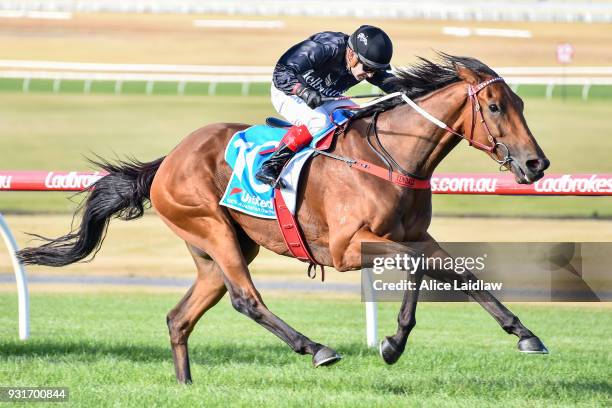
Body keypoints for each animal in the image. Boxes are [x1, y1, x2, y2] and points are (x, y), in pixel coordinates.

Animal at [17, 54, 548, 382]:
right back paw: (316, 348)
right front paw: (393, 343)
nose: (536, 164)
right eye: (495, 106)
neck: (393, 157)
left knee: (179, 317)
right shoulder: (348, 248)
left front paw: (525, 335)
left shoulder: (417, 235)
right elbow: (420, 269)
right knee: (245, 300)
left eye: (521, 104)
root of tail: (168, 159)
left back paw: (186, 385)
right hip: (212, 229)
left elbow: (458, 274)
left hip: (218, 250)